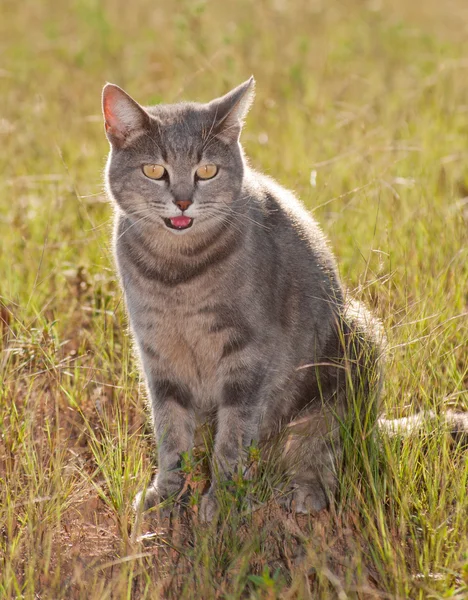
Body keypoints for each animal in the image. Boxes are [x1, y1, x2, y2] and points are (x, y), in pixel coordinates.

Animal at [99, 78, 464, 520]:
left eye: (207, 171)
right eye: (154, 170)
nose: (183, 200)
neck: (177, 271)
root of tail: (372, 425)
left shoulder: (248, 355)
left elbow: (233, 436)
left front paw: (223, 499)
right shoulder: (157, 354)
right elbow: (171, 432)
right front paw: (168, 494)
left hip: (356, 345)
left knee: (322, 451)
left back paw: (303, 490)